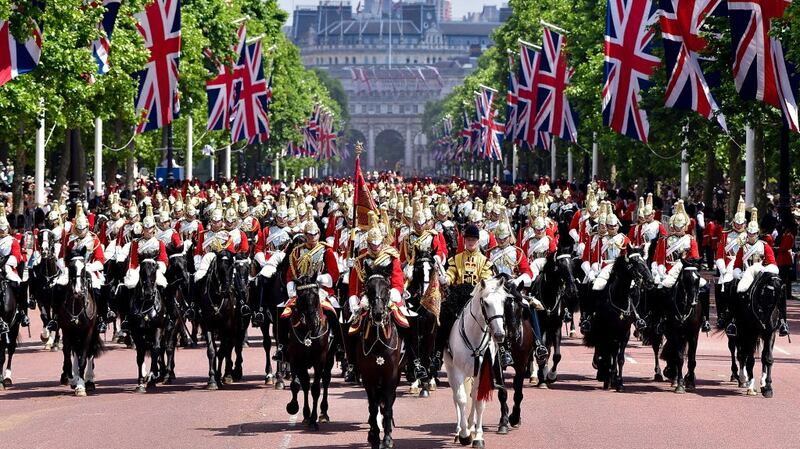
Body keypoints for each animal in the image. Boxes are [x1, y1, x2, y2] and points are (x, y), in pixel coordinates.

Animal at [58, 252, 103, 396]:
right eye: (71, 268)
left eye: (83, 269)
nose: (78, 291)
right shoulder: (67, 331)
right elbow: (68, 357)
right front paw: (72, 379)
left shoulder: (88, 331)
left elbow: (83, 357)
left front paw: (81, 386)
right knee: (74, 353)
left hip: (93, 332)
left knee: (89, 353)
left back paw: (88, 380)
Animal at [286, 274, 336, 428]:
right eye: (301, 297)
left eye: (316, 295)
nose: (314, 322)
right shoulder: (296, 359)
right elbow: (297, 385)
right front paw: (293, 407)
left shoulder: (319, 361)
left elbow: (315, 389)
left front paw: (314, 420)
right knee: (306, 383)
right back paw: (306, 415)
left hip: (329, 360)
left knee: (325, 381)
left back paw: (323, 413)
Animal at [358, 266, 406, 448]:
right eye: (368, 288)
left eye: (386, 288)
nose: (378, 313)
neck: (379, 340)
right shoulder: (368, 377)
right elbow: (373, 407)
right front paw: (375, 436)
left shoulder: (390, 376)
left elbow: (386, 407)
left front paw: (387, 438)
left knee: (388, 403)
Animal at [444, 276, 506, 448]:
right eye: (486, 303)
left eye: (503, 301)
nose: (499, 335)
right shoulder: (458, 371)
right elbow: (461, 399)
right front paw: (465, 435)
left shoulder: (482, 372)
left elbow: (479, 401)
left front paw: (477, 436)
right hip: (451, 369)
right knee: (456, 397)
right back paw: (459, 431)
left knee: (472, 394)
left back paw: (471, 425)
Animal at [584, 247, 652, 390]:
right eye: (634, 262)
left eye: (644, 260)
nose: (650, 281)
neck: (619, 297)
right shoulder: (608, 332)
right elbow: (608, 353)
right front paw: (608, 376)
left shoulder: (624, 333)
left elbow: (620, 358)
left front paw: (619, 381)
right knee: (602, 349)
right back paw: (602, 371)